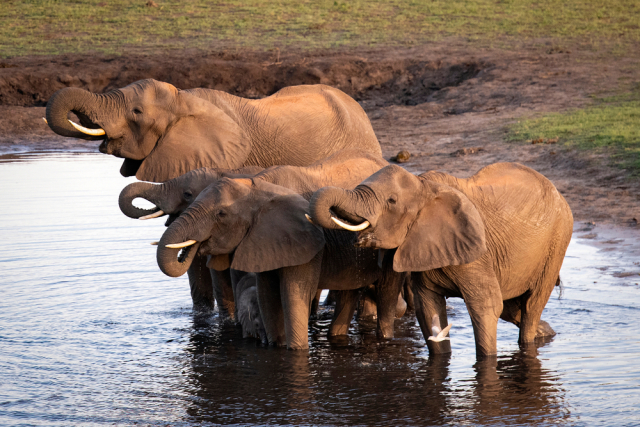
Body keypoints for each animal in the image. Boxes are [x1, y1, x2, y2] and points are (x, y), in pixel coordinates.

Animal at [308, 163, 572, 358]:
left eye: (391, 201)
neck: (424, 187)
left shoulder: (477, 252)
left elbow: (486, 305)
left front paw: (487, 364)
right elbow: (428, 309)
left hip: (557, 242)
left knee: (531, 306)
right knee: (513, 308)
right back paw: (546, 333)